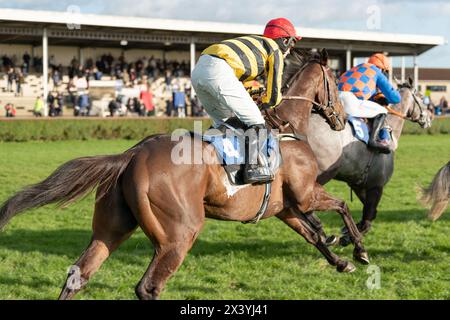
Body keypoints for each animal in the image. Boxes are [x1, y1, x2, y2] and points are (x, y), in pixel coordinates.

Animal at [0, 50, 366, 300]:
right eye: (336, 85)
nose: (341, 119)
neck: (287, 127)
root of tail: (131, 155)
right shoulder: (305, 194)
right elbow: (342, 207)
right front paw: (359, 250)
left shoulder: (284, 207)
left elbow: (313, 234)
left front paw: (341, 260)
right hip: (179, 233)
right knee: (148, 287)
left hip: (111, 227)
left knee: (79, 274)